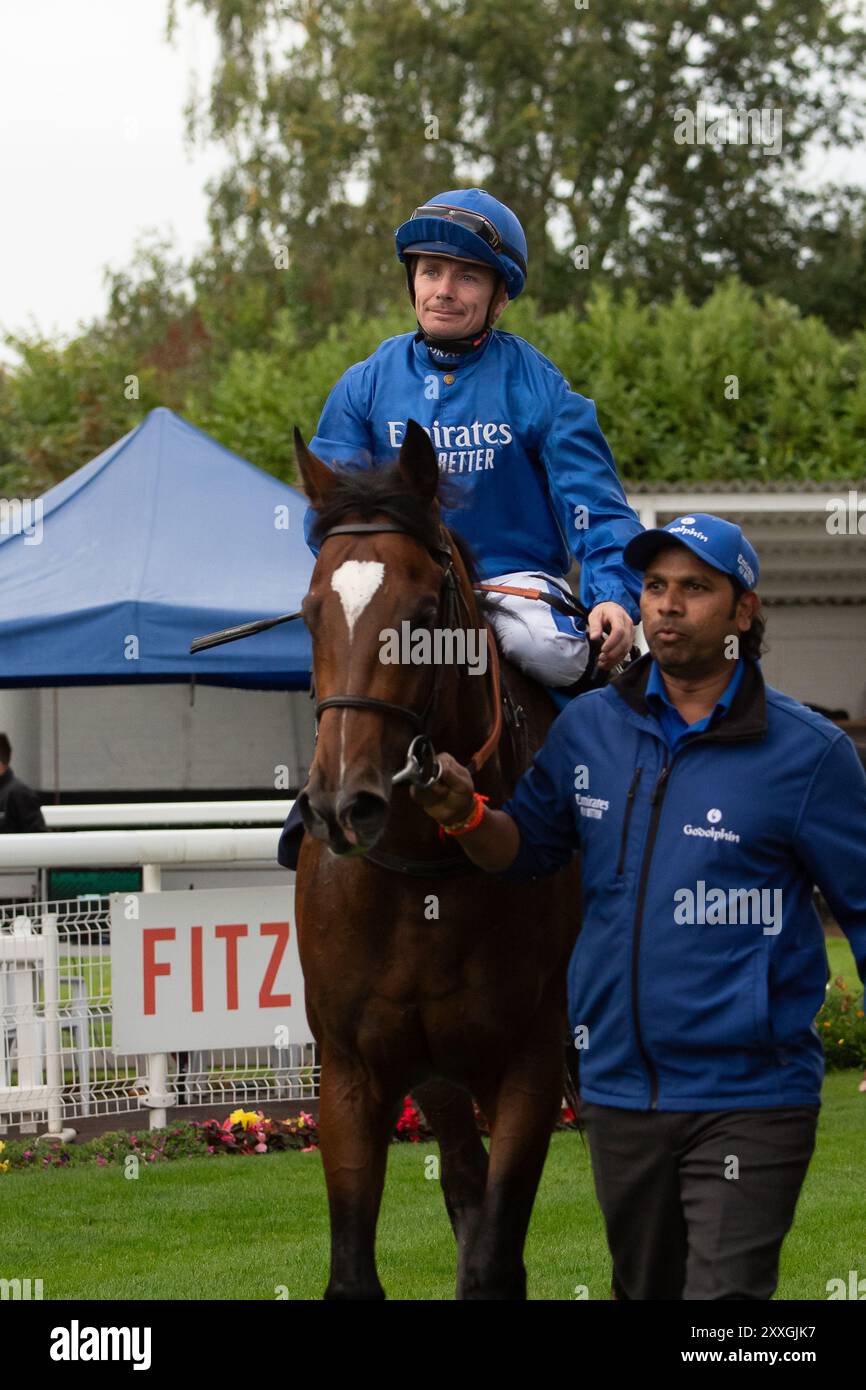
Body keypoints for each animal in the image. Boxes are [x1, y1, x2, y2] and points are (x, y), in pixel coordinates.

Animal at [291, 417, 583, 1295]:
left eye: (422, 615)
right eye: (311, 613)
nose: (341, 804)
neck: (424, 882)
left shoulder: (530, 1065)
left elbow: (493, 1261)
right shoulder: (354, 1072)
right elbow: (357, 1268)